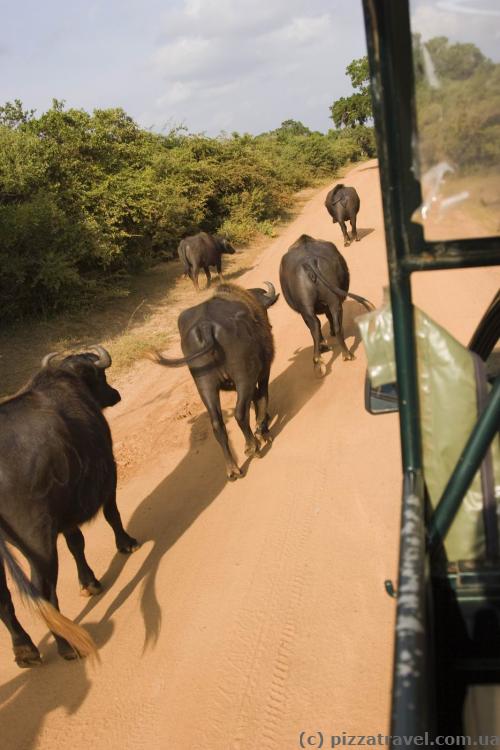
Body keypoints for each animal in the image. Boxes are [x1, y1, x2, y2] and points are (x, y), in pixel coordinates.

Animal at [0, 348, 140, 668]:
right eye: (101, 375)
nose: (115, 394)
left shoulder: (64, 514)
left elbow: (76, 542)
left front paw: (89, 582)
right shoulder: (109, 471)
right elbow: (111, 513)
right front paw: (126, 543)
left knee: (3, 598)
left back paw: (25, 650)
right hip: (38, 544)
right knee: (44, 594)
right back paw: (67, 646)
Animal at [150, 282, 280, 482]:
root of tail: (206, 327)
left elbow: (256, 399)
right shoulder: (263, 371)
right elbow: (262, 398)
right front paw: (263, 430)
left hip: (205, 385)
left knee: (217, 424)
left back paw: (232, 469)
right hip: (243, 377)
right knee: (240, 413)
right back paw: (252, 447)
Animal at [280, 235, 374, 376]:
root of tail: (310, 261)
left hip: (312, 306)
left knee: (315, 325)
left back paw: (321, 357)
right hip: (332, 301)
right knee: (331, 324)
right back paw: (344, 354)